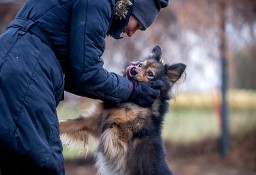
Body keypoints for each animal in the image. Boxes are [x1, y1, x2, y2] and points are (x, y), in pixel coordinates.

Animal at [59, 45, 186, 174]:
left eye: (150, 74)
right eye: (140, 65)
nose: (133, 70)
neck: (132, 101)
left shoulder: (120, 132)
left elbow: (111, 133)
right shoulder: (94, 119)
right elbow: (68, 124)